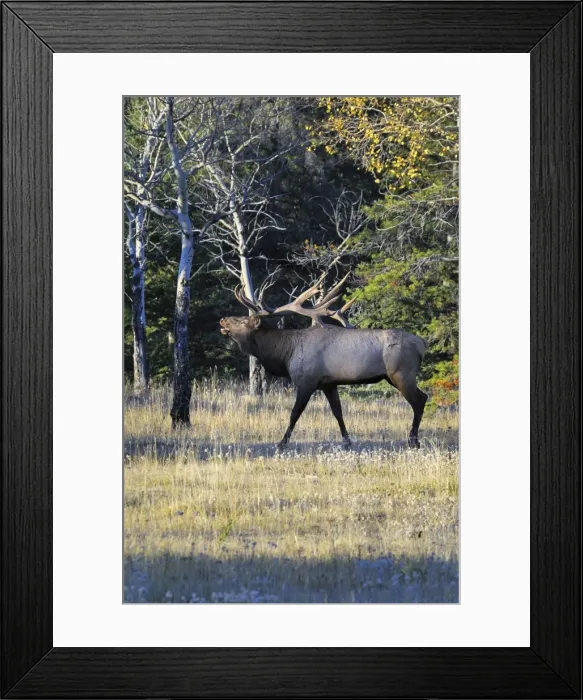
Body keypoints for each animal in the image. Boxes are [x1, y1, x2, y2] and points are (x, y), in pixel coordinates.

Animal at [219, 274, 429, 450]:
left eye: (242, 320)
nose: (223, 320)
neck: (285, 354)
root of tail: (422, 343)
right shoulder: (329, 384)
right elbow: (338, 412)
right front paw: (347, 441)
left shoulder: (307, 381)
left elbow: (294, 414)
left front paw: (282, 443)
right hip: (395, 376)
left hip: (401, 373)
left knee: (420, 399)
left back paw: (413, 440)